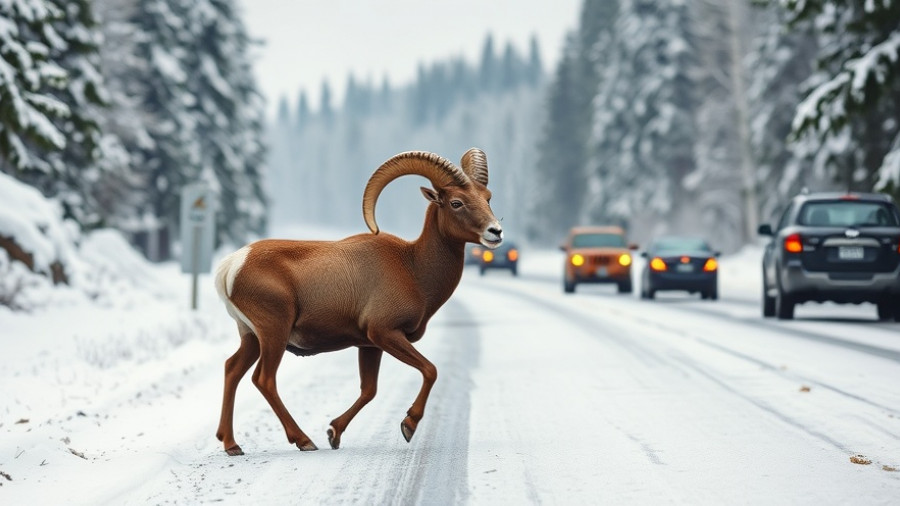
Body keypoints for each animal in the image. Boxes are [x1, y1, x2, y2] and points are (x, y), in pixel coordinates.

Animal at [214, 148, 502, 455]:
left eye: (487, 197)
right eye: (456, 202)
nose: (495, 232)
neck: (413, 268)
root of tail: (232, 266)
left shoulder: (369, 345)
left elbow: (369, 390)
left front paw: (334, 433)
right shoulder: (385, 333)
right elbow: (430, 370)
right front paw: (408, 426)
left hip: (251, 337)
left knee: (232, 369)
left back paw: (231, 444)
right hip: (273, 333)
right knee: (264, 380)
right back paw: (304, 441)